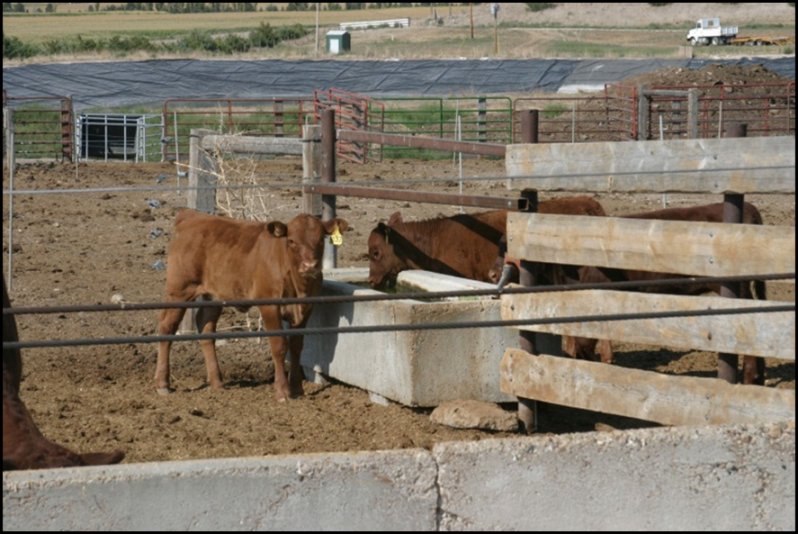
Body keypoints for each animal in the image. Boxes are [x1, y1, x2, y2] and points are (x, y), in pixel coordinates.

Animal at [156, 209, 346, 402]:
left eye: (320, 239)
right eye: (291, 240)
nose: (309, 266)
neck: (298, 286)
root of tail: (191, 215)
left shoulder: (306, 309)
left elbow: (296, 346)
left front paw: (297, 388)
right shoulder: (270, 307)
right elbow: (279, 346)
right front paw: (282, 391)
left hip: (214, 295)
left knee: (206, 327)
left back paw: (217, 382)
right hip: (179, 290)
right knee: (167, 327)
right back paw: (163, 384)